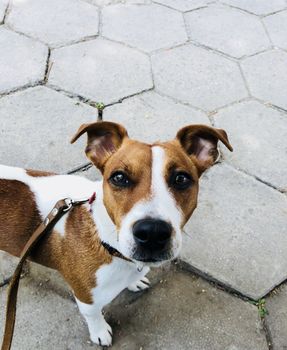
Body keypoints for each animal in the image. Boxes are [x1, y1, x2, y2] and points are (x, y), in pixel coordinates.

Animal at [0, 121, 233, 346]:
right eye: (119, 177)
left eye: (181, 179)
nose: (152, 232)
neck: (108, 243)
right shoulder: (86, 298)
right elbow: (93, 315)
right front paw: (100, 332)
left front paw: (134, 282)